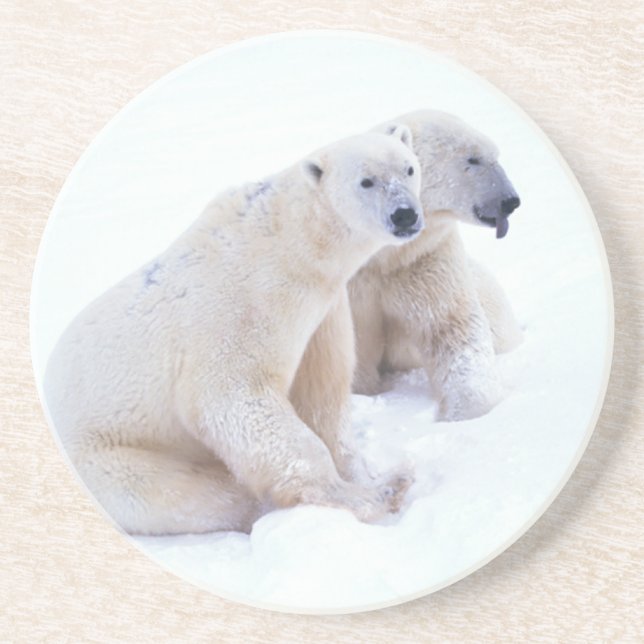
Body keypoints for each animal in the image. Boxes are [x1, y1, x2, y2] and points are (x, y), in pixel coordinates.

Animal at [43, 127, 424, 536]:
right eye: (366, 181)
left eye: (409, 168)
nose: (405, 215)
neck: (289, 244)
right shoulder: (241, 305)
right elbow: (233, 395)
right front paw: (375, 492)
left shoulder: (324, 314)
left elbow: (322, 395)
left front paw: (374, 476)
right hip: (117, 462)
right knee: (199, 495)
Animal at [349, 110, 523, 421]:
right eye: (473, 159)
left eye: (496, 155)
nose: (511, 201)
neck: (383, 255)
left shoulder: (426, 259)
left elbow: (452, 327)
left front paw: (469, 412)